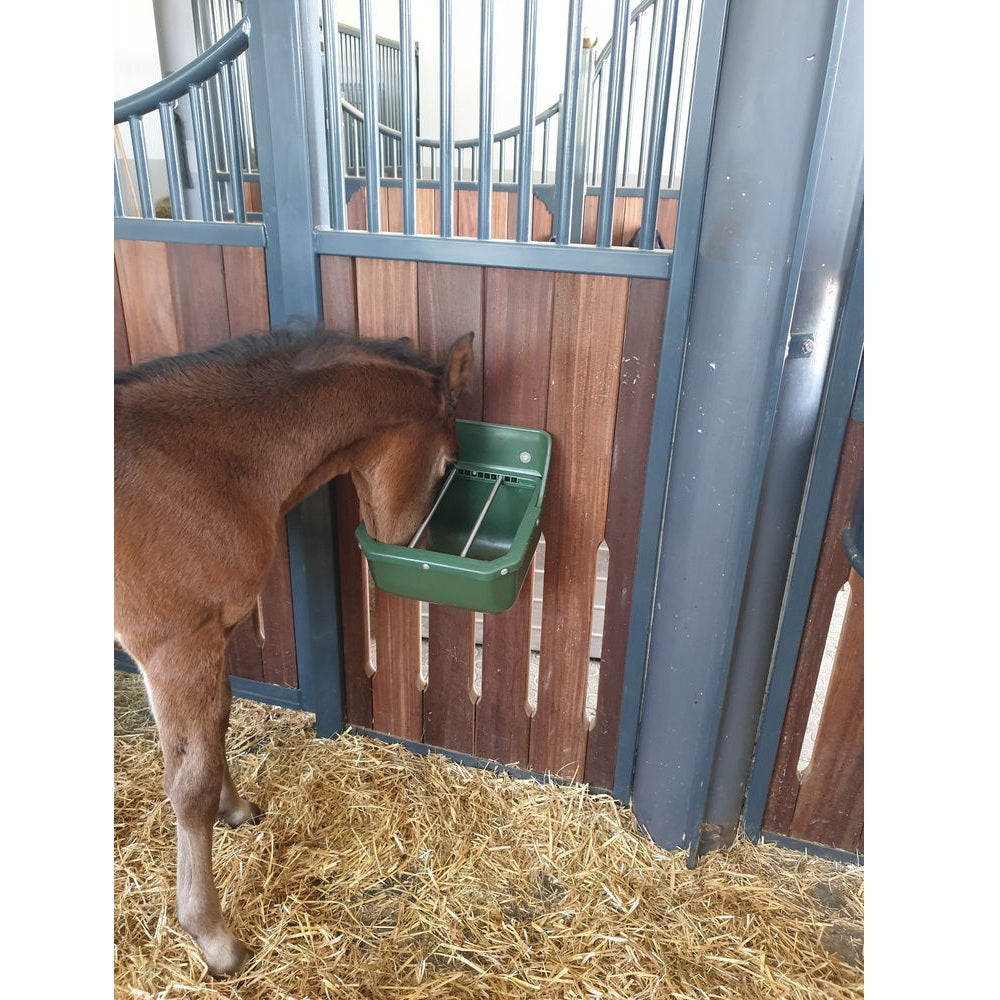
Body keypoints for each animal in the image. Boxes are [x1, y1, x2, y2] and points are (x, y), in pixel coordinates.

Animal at [115, 327, 474, 976]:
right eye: (449, 466)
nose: (415, 546)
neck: (199, 465)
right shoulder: (174, 649)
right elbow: (189, 785)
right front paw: (212, 935)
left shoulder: (212, 638)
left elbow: (219, 726)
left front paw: (236, 810)